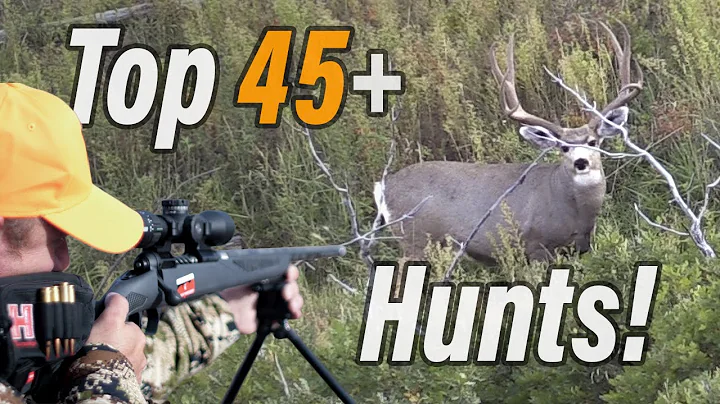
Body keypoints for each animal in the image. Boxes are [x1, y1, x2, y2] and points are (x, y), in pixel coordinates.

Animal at [374, 20, 644, 287]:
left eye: (593, 141)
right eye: (563, 146)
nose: (581, 162)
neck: (573, 211)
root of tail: (384, 185)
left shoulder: (579, 248)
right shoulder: (536, 245)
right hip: (416, 239)